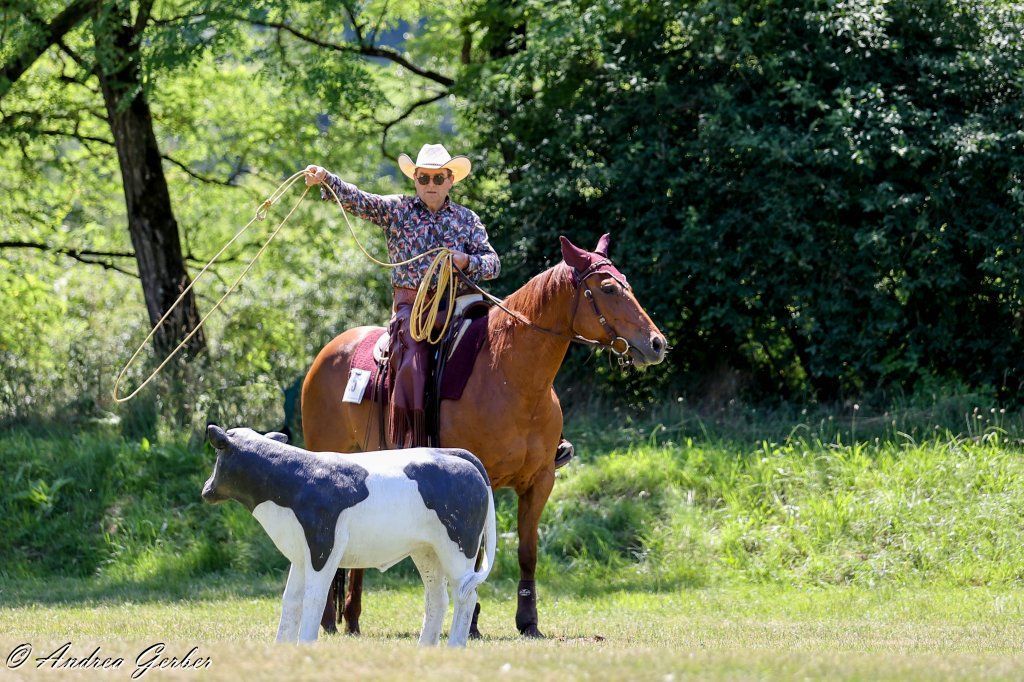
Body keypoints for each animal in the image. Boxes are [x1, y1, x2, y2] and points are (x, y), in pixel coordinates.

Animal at [300, 232, 667, 638]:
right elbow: (474, 556)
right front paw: (471, 622)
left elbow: (527, 551)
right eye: (608, 288)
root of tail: (330, 351)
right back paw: (327, 619)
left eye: (626, 284)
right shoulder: (480, 480)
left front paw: (528, 621)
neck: (512, 377)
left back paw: (350, 619)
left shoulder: (541, 480)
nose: (656, 344)